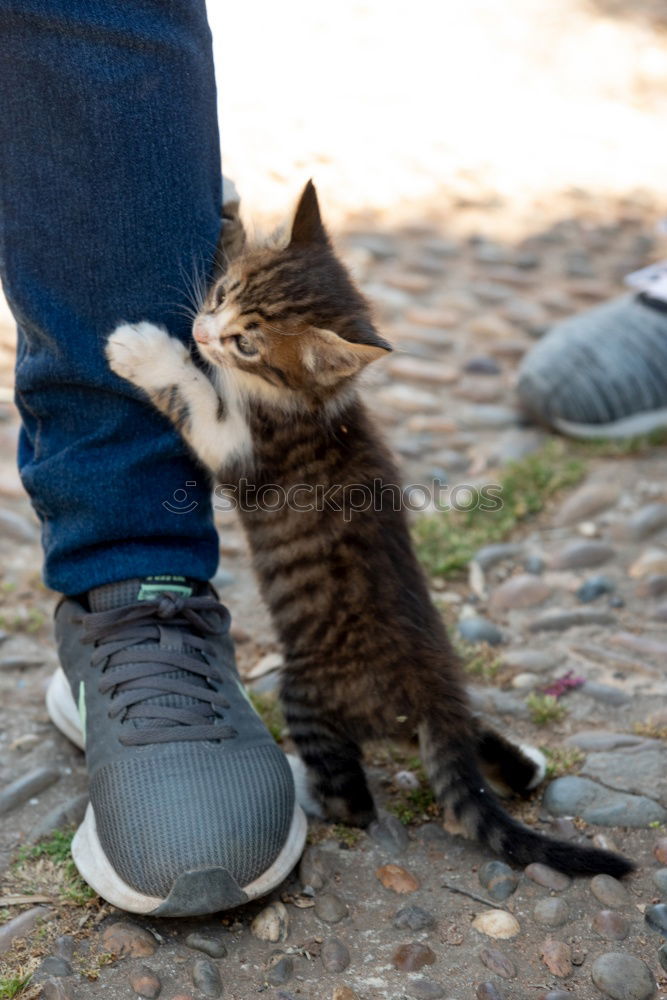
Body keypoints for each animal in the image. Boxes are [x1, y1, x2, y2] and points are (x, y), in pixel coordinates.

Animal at [107, 182, 636, 876]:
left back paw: (306, 789)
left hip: (307, 689)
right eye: (221, 293)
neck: (311, 402)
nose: (199, 328)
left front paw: (145, 352)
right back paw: (522, 764)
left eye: (247, 344)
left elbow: (193, 393)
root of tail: (432, 690)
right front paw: (233, 220)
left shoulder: (243, 450)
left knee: (353, 802)